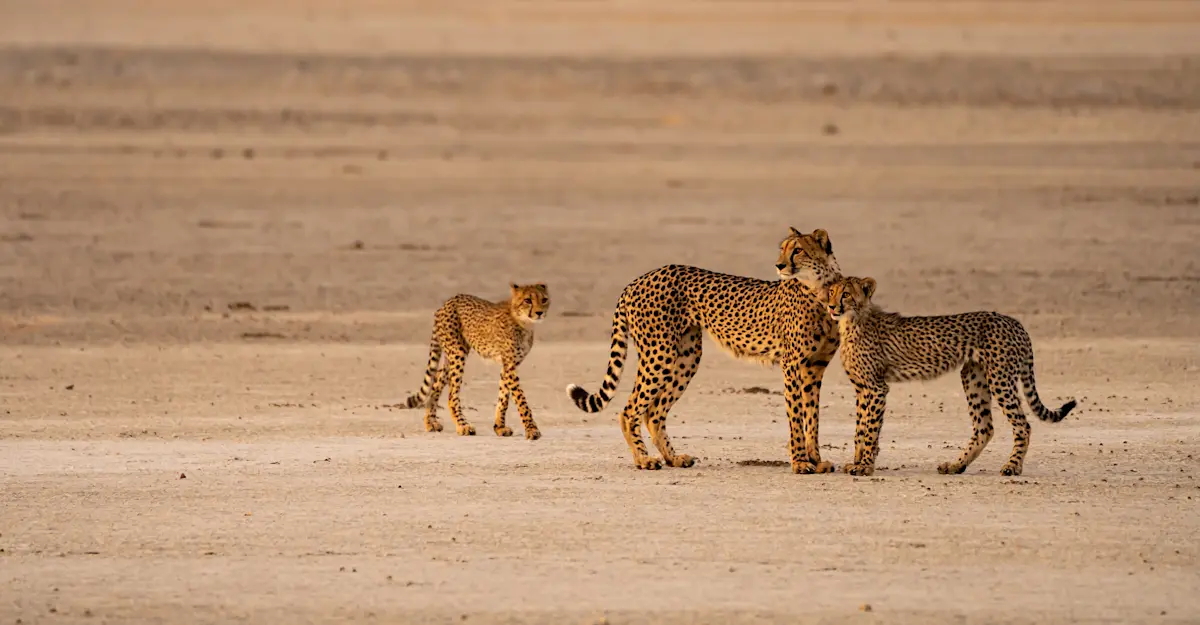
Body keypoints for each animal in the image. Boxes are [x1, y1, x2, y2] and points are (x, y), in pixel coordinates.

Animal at [403, 283, 550, 440]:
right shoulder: (510, 365)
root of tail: (447, 302)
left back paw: (430, 423)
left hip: (452, 355)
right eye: (528, 300)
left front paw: (500, 427)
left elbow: (503, 397)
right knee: (451, 395)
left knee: (437, 381)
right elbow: (520, 399)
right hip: (458, 353)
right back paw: (463, 426)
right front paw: (532, 430)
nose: (539, 313)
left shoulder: (509, 365)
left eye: (544, 299)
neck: (523, 322)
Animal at [565, 227, 844, 473]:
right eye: (783, 249)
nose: (779, 265)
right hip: (659, 354)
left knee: (653, 412)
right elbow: (796, 415)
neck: (820, 289)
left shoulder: (814, 367)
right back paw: (644, 460)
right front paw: (800, 462)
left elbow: (812, 416)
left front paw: (816, 460)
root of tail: (638, 279)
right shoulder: (792, 365)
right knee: (629, 410)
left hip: (686, 358)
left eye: (797, 250)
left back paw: (673, 458)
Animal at [825, 275, 1076, 477]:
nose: (830, 306)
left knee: (1023, 425)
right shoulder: (862, 388)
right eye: (832, 292)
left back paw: (1012, 466)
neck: (852, 321)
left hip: (1000, 379)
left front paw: (865, 466)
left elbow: (869, 428)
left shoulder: (876, 387)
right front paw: (858, 461)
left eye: (846, 294)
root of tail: (1014, 321)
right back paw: (956, 465)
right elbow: (860, 428)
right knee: (984, 427)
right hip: (973, 377)